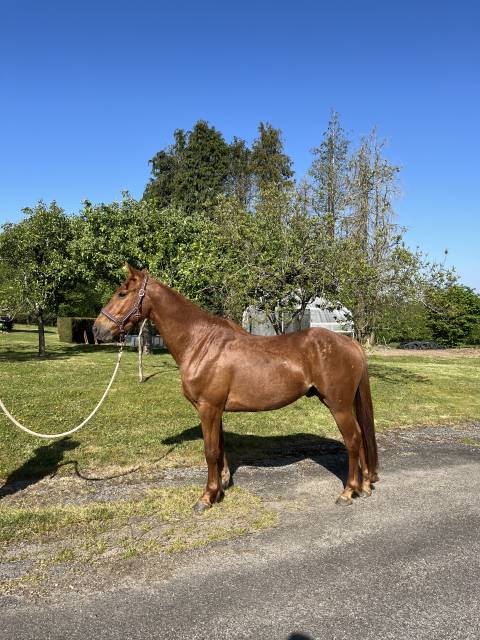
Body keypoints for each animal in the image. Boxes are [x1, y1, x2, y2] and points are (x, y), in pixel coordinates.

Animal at [93, 264, 378, 513]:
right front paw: (221, 487)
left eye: (121, 293)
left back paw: (348, 492)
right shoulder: (215, 409)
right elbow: (220, 448)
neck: (200, 343)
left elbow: (210, 452)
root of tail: (350, 343)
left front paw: (206, 498)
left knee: (354, 439)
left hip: (338, 405)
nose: (97, 330)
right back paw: (364, 486)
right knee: (361, 437)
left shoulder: (208, 408)